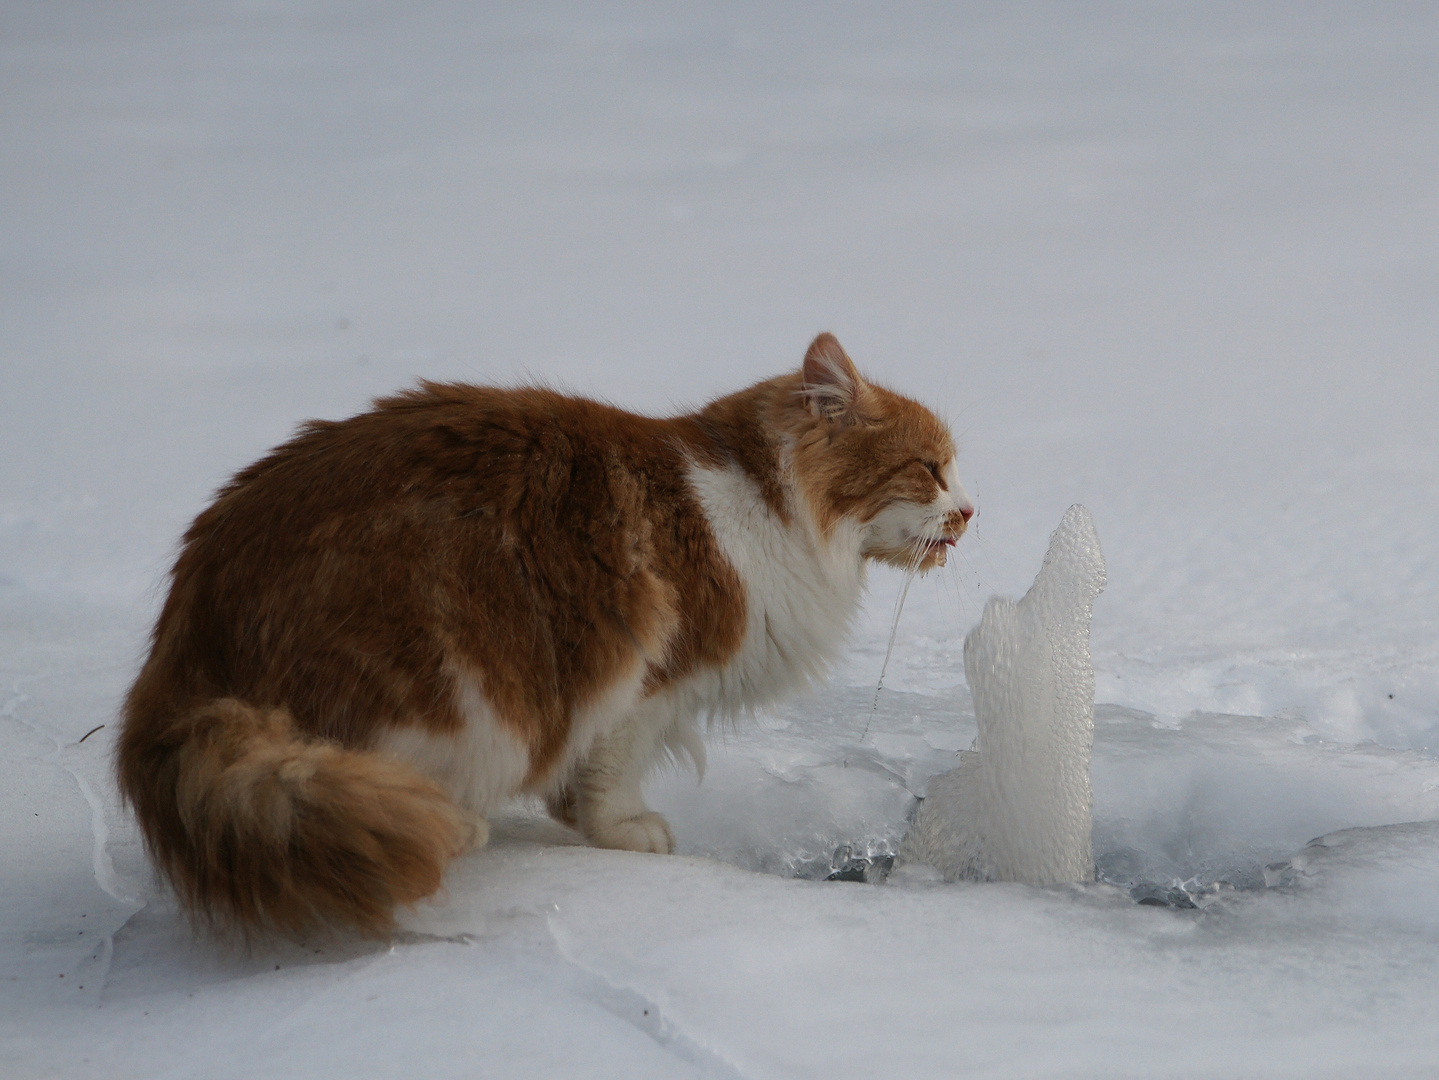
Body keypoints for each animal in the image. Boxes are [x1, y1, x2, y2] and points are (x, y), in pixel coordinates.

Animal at [117, 336, 972, 937]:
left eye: (952, 471)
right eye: (929, 468)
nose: (970, 511)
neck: (763, 504)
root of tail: (192, 620)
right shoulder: (645, 677)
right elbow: (611, 775)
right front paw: (626, 833)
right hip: (448, 683)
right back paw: (449, 822)